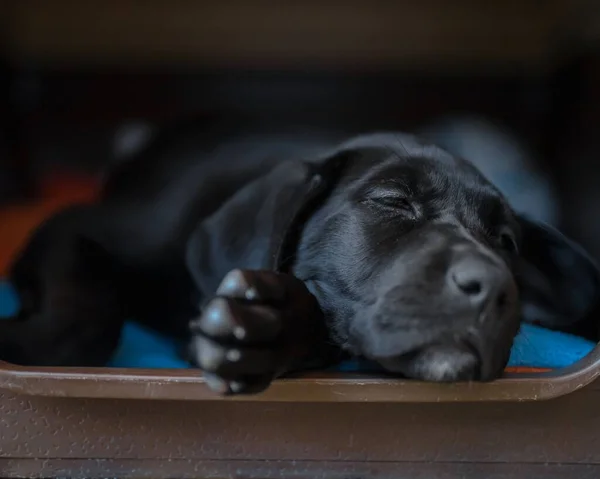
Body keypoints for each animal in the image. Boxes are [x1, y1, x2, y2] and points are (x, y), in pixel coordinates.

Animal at [2, 124, 596, 398]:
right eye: (393, 201)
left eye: (506, 242)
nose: (495, 287)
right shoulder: (73, 224)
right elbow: (83, 322)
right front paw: (25, 340)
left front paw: (266, 329)